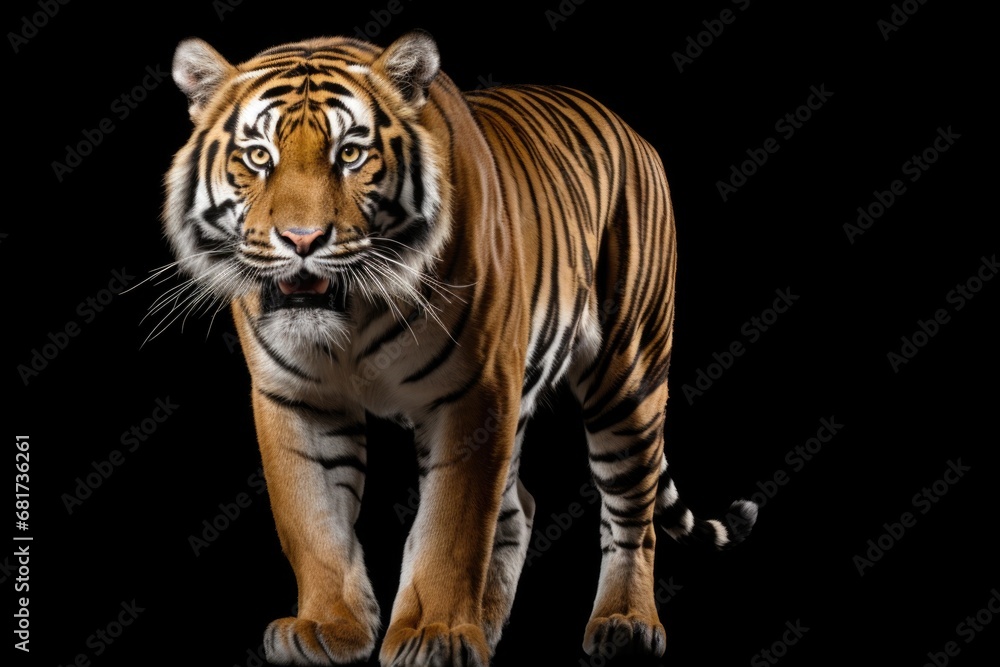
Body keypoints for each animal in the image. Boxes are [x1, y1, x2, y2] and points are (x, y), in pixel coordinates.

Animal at [160, 29, 757, 667]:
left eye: (350, 154)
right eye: (257, 157)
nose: (303, 240)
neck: (353, 318)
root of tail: (628, 127)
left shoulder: (474, 393)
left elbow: (452, 525)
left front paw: (436, 634)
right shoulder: (296, 398)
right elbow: (312, 520)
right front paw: (327, 627)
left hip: (628, 375)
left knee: (631, 513)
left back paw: (625, 624)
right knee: (520, 506)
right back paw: (489, 623)